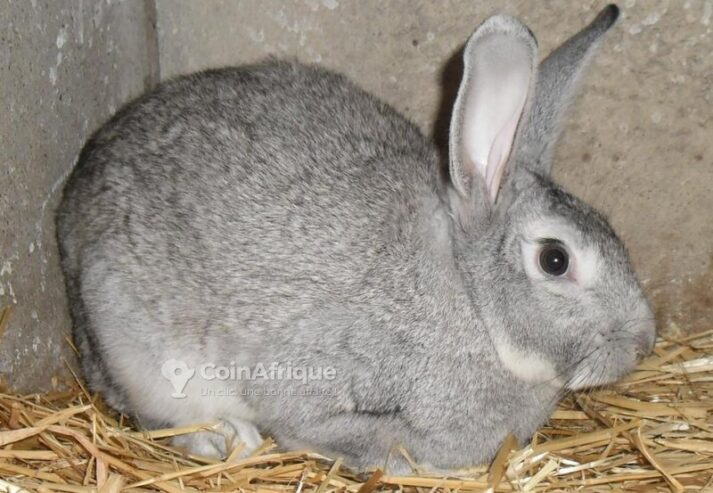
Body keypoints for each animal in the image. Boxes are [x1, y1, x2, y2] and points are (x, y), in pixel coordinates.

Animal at [58, 5, 652, 470]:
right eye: (555, 259)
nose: (643, 344)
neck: (471, 301)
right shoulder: (315, 377)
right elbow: (328, 429)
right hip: (136, 347)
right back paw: (225, 438)